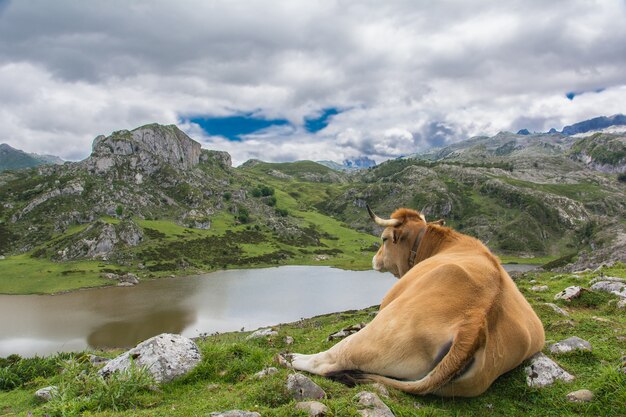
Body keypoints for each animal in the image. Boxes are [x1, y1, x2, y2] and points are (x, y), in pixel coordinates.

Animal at [280, 206, 544, 394]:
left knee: (329, 360)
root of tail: (475, 324)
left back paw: (291, 357)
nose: (374, 260)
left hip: (379, 333)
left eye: (384, 239)